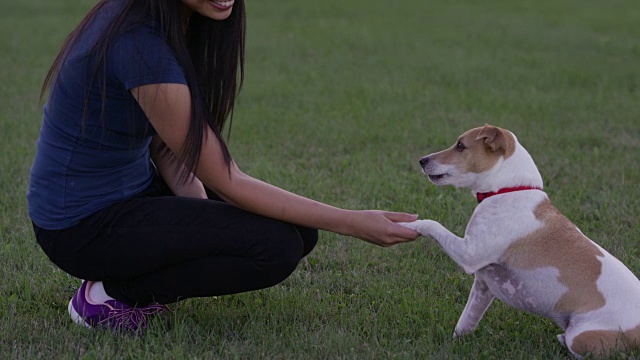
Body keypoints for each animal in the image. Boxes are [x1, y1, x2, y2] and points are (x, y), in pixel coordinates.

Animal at [400, 124, 640, 358]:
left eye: (460, 146)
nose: (422, 160)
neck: (507, 190)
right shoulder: (482, 286)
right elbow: (465, 322)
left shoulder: (469, 254)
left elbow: (431, 224)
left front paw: (407, 225)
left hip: (581, 336)